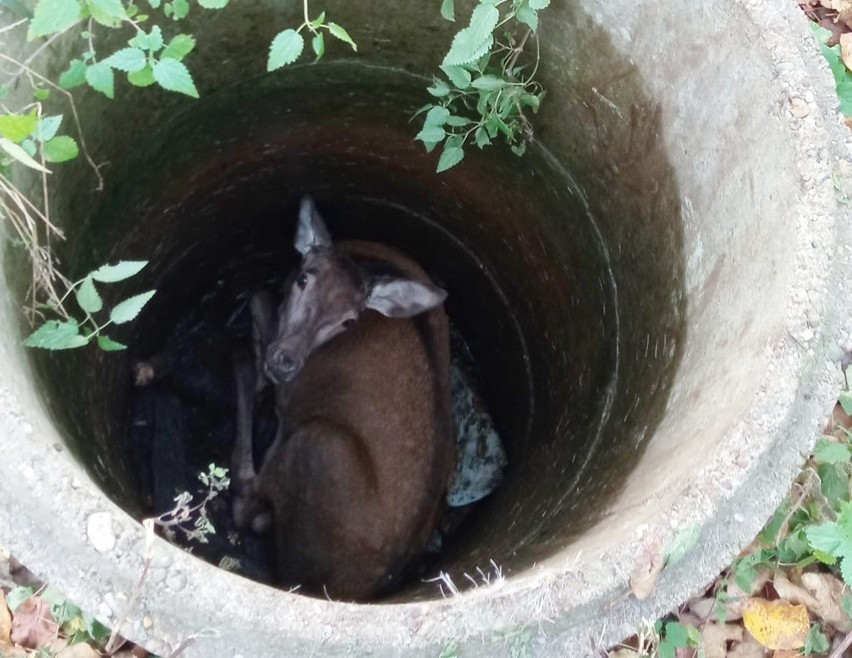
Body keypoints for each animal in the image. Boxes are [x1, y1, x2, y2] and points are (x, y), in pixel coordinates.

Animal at [226, 196, 452, 600]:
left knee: (246, 501)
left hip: (320, 445)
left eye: (349, 321)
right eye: (304, 278)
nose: (286, 361)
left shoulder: (291, 392)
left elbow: (258, 299)